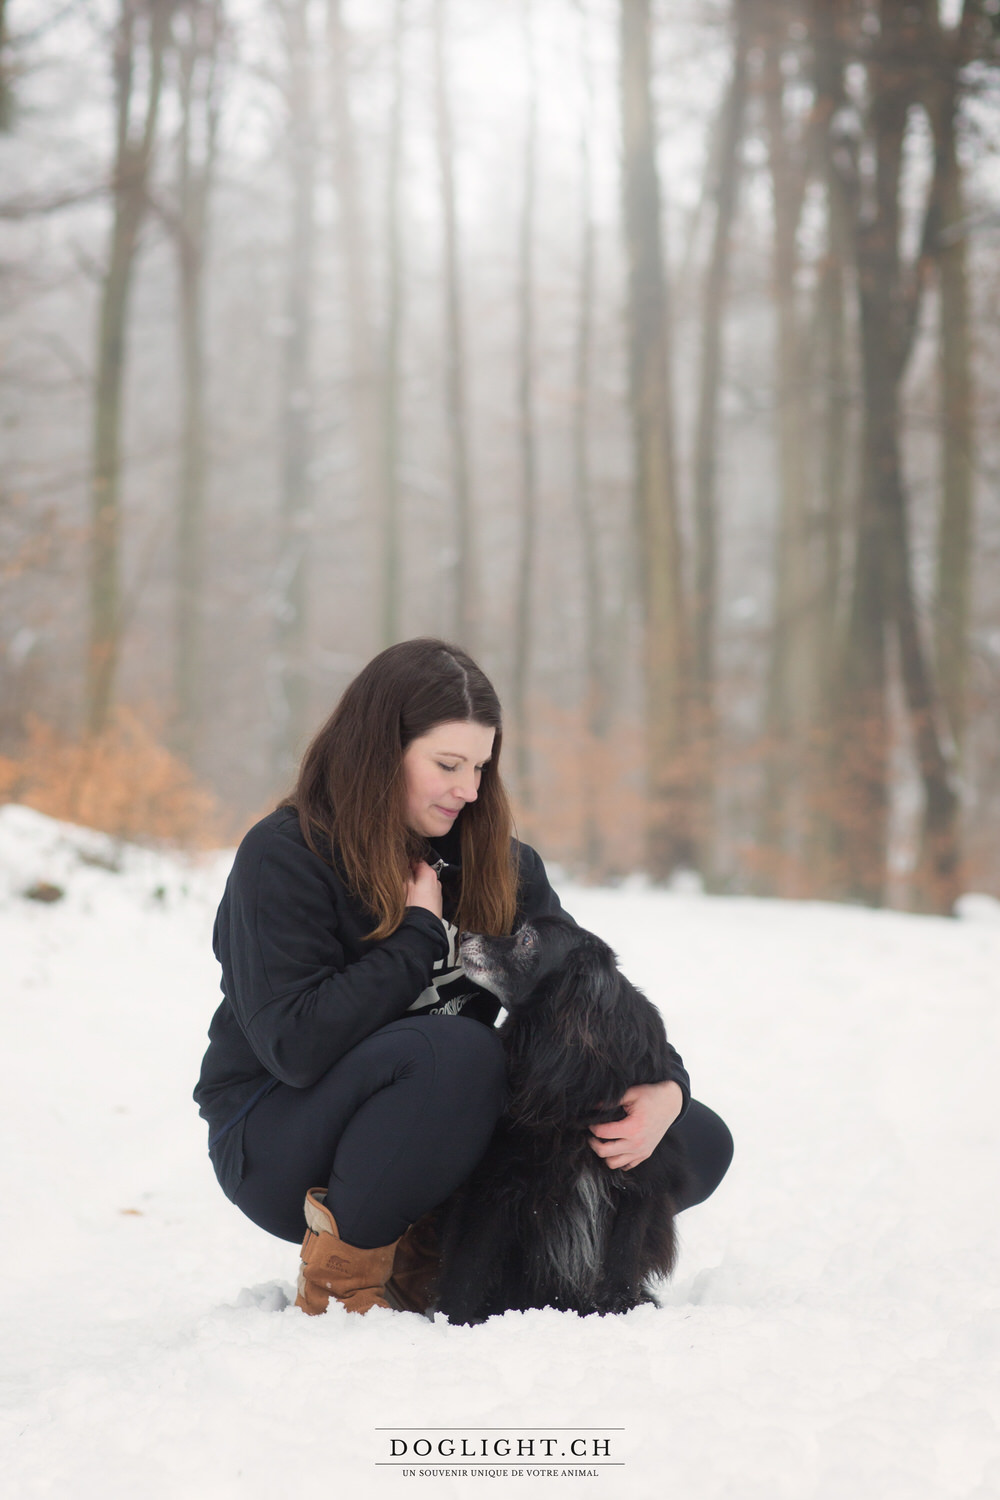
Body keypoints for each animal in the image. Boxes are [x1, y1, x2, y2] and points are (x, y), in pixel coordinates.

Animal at [434, 912, 692, 1326]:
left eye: (527, 940)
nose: (467, 933)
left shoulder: (636, 1183)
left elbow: (620, 1267)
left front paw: (620, 1314)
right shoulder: (497, 1183)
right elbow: (469, 1265)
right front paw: (451, 1323)